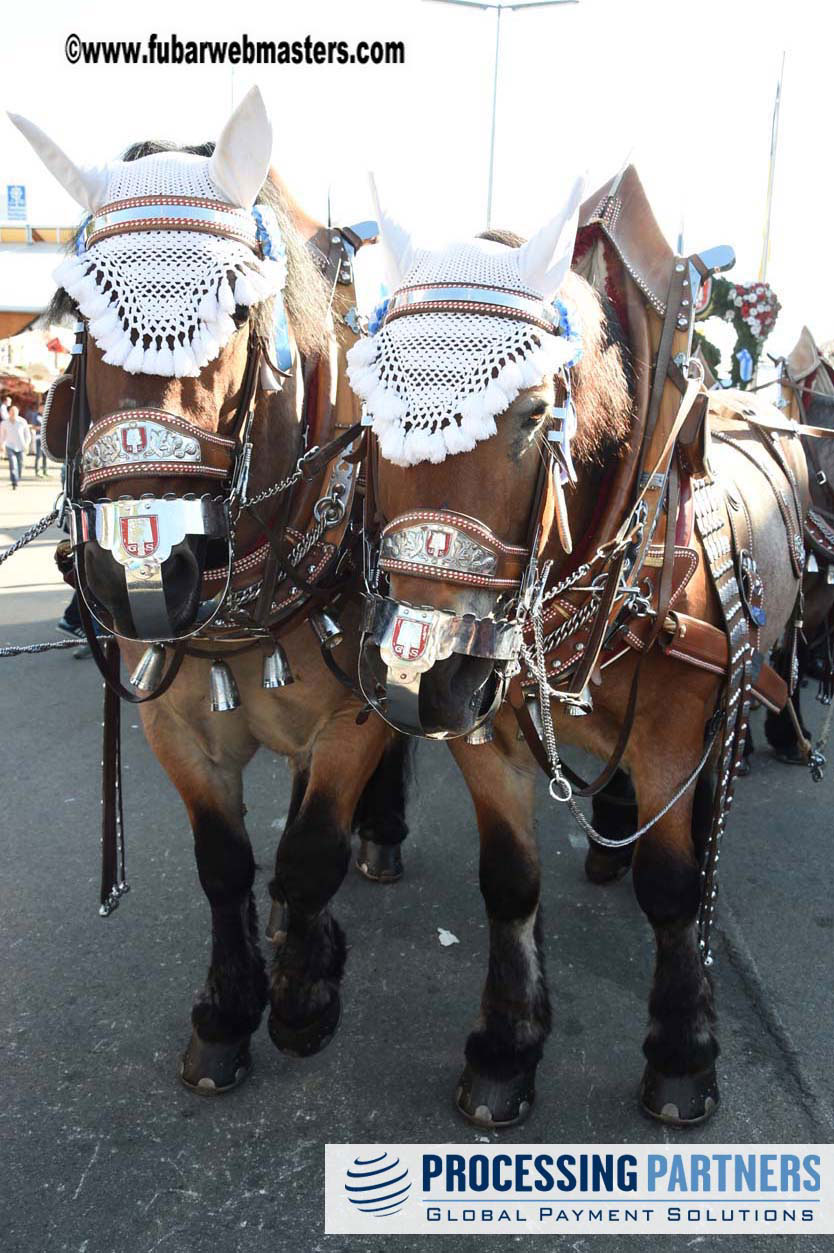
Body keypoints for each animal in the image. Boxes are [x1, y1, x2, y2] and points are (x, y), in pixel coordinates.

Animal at [12, 97, 403, 1092]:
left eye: (235, 307)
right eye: (77, 315)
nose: (144, 565)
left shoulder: (352, 715)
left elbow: (310, 851)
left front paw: (302, 999)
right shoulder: (174, 723)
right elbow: (224, 863)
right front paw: (228, 1010)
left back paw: (380, 838)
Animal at [348, 190, 806, 1132]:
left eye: (531, 417)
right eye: (370, 413)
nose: (418, 676)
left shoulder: (672, 732)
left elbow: (672, 888)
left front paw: (681, 1053)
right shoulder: (482, 728)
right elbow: (509, 882)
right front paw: (506, 1047)